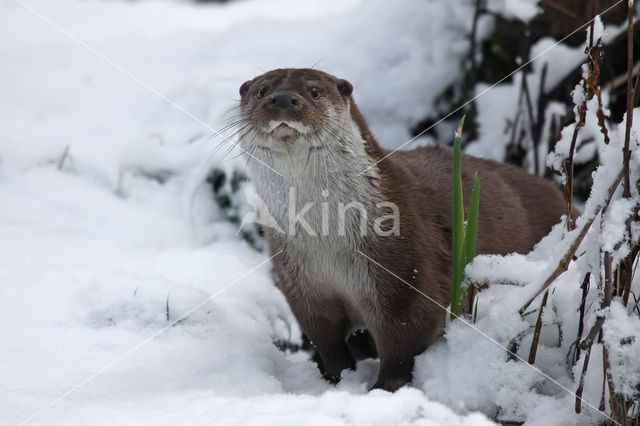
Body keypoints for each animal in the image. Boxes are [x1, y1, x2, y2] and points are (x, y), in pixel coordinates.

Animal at [238, 68, 568, 392]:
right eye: (262, 91)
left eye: (314, 91)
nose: (283, 98)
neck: (327, 239)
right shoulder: (301, 283)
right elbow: (326, 340)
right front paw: (334, 379)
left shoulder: (404, 270)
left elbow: (405, 337)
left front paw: (382, 389)